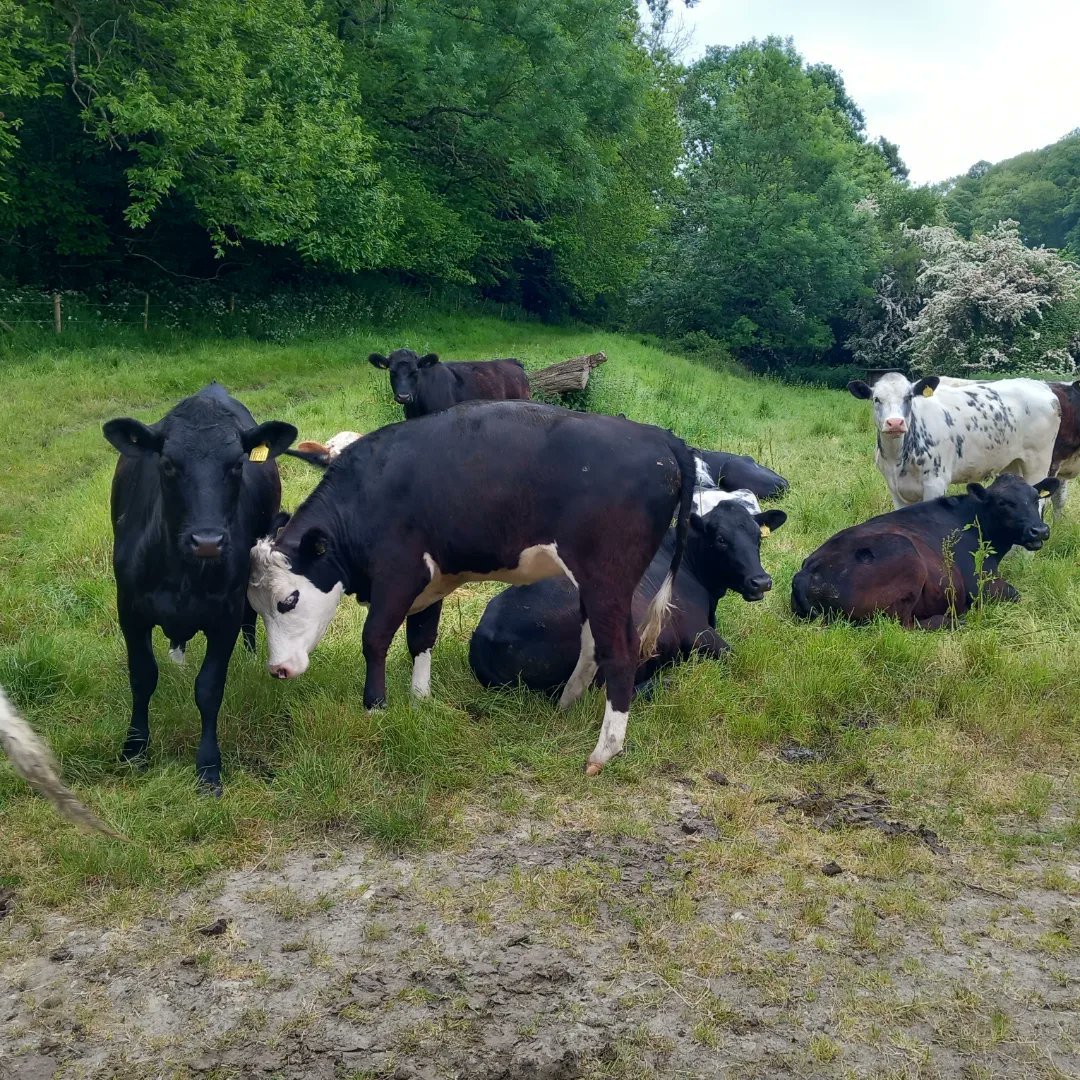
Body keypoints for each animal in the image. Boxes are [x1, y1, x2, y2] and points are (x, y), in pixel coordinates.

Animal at [103, 383, 297, 794]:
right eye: (167, 463)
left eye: (237, 464)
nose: (207, 541)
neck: (183, 576)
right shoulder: (130, 610)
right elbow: (142, 677)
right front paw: (134, 751)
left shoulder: (224, 616)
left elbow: (209, 689)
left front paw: (208, 766)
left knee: (250, 616)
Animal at [246, 399, 696, 776]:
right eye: (256, 607)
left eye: (289, 600)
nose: (278, 669)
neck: (367, 497)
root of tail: (660, 437)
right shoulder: (430, 580)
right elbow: (420, 638)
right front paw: (420, 701)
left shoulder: (398, 575)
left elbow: (374, 639)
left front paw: (375, 708)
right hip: (591, 585)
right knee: (591, 646)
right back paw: (566, 705)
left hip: (608, 581)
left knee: (621, 652)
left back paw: (604, 750)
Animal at [469, 499, 786, 694]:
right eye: (720, 539)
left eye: (758, 537)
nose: (761, 581)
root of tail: (485, 633)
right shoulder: (698, 631)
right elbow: (736, 656)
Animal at [790, 473, 1059, 628]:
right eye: (1003, 502)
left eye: (1036, 498)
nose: (1039, 530)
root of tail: (805, 573)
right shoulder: (981, 585)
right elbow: (1016, 594)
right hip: (907, 557)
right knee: (902, 625)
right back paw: (953, 620)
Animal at [847, 373, 1061, 510]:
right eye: (876, 399)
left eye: (908, 397)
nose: (895, 423)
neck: (898, 458)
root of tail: (1040, 385)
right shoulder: (895, 489)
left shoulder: (936, 483)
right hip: (1013, 463)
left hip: (1038, 462)